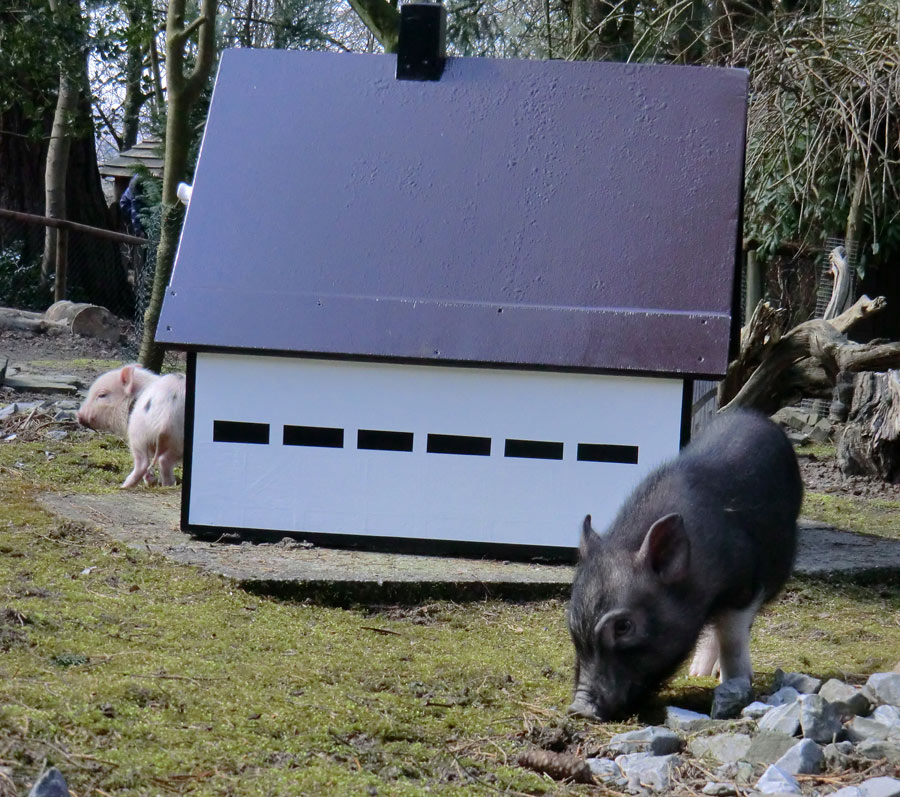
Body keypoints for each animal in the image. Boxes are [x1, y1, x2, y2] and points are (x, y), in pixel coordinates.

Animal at [568, 410, 800, 720]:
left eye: (624, 626)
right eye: (573, 625)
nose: (579, 708)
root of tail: (753, 415)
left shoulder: (745, 586)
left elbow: (732, 639)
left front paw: (736, 685)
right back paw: (697, 673)